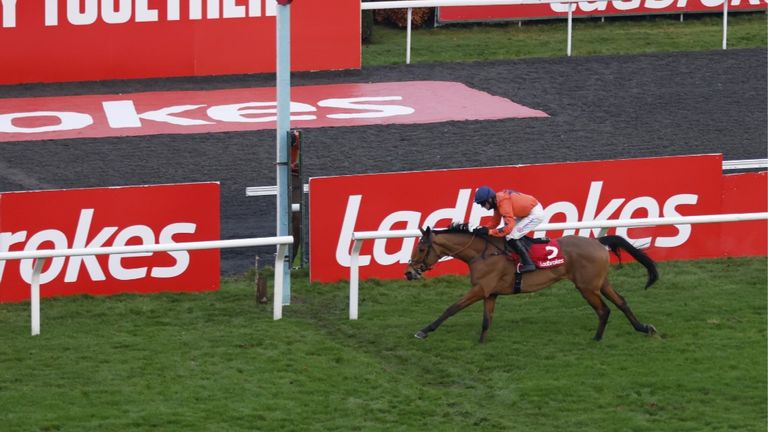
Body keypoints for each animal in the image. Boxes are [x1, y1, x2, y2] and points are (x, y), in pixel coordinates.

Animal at [404, 226, 656, 344]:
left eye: (421, 248)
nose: (408, 272)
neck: (483, 253)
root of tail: (597, 241)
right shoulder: (490, 293)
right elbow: (486, 320)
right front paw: (482, 342)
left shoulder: (480, 289)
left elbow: (451, 309)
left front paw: (423, 331)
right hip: (599, 282)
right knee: (621, 302)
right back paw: (644, 328)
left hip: (586, 286)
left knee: (604, 310)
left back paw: (596, 338)